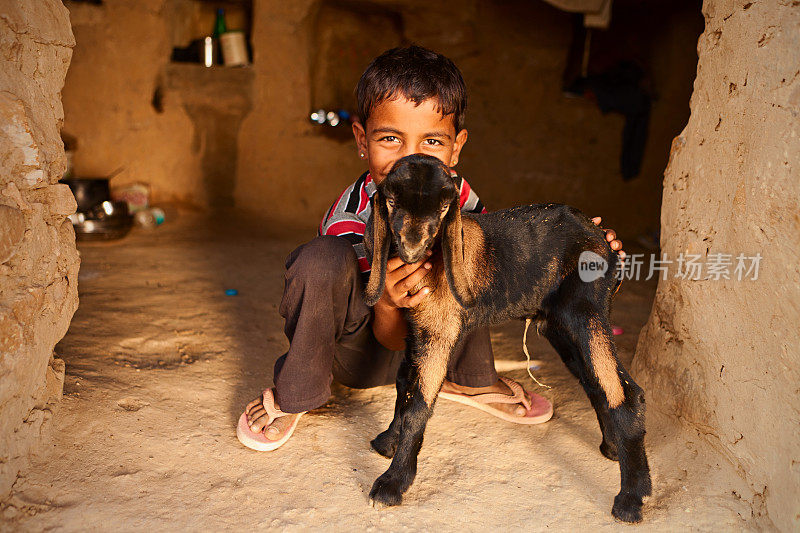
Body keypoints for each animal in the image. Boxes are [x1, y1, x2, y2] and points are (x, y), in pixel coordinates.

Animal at [366, 153, 652, 520]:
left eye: (444, 207)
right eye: (390, 200)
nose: (413, 247)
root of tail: (603, 238)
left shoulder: (439, 333)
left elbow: (419, 404)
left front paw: (391, 484)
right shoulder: (415, 333)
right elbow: (404, 387)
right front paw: (389, 441)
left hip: (585, 313)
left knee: (626, 394)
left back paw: (631, 498)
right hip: (562, 328)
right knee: (598, 385)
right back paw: (614, 448)